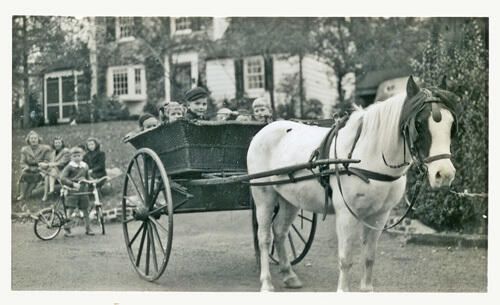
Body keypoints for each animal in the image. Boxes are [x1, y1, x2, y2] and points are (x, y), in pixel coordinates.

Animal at [247, 76, 458, 290]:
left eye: (451, 125)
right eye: (420, 124)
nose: (444, 174)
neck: (369, 156)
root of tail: (263, 130)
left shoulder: (380, 215)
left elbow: (369, 256)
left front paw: (366, 288)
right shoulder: (347, 215)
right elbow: (346, 258)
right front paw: (343, 290)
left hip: (289, 198)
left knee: (280, 232)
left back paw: (289, 275)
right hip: (264, 196)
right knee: (265, 238)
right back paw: (266, 283)